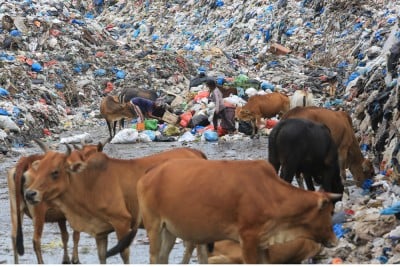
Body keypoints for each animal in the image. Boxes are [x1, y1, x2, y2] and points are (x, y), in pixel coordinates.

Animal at [23, 144, 206, 264]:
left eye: (55, 172)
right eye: (38, 170)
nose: (30, 194)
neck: (89, 183)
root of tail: (194, 152)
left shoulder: (122, 222)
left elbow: (124, 254)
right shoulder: (100, 231)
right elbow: (101, 256)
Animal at [136, 158, 340, 264]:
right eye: (329, 212)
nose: (334, 240)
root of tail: (150, 172)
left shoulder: (262, 243)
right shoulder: (247, 240)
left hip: (169, 230)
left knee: (163, 257)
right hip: (154, 227)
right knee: (154, 257)